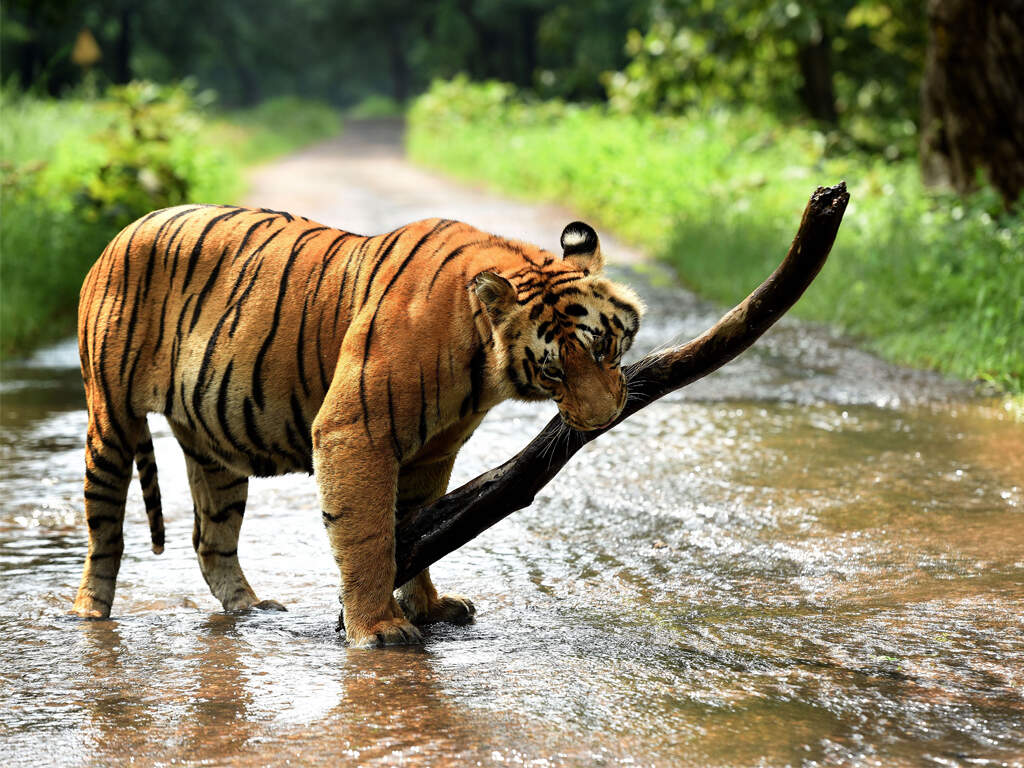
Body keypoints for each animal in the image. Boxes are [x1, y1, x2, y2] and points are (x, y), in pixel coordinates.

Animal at [72, 204, 644, 647]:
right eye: (552, 369)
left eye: (603, 347)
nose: (602, 419)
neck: (480, 356)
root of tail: (122, 231)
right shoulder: (355, 430)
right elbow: (370, 535)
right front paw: (378, 629)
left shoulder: (432, 452)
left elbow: (419, 529)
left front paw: (428, 607)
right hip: (111, 421)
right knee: (104, 530)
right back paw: (89, 612)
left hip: (214, 450)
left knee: (212, 540)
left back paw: (250, 608)